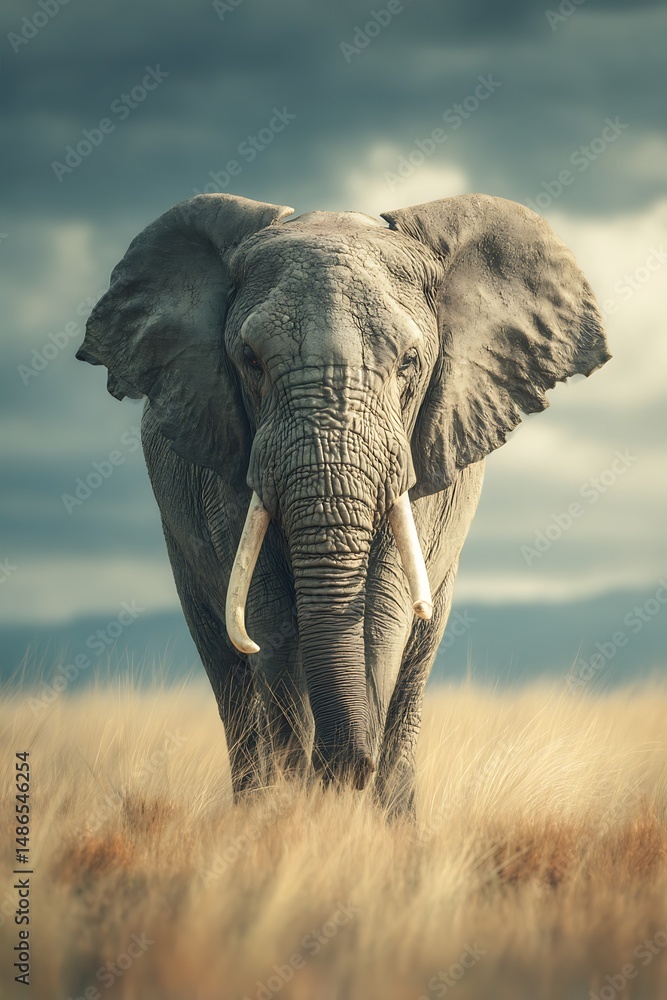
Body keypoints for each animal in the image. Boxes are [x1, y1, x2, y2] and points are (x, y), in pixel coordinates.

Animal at [77, 192, 609, 815]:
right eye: (250, 360)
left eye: (409, 362)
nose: (343, 770)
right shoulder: (228, 458)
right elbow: (271, 618)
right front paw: (292, 806)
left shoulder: (422, 464)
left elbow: (383, 613)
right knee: (227, 667)